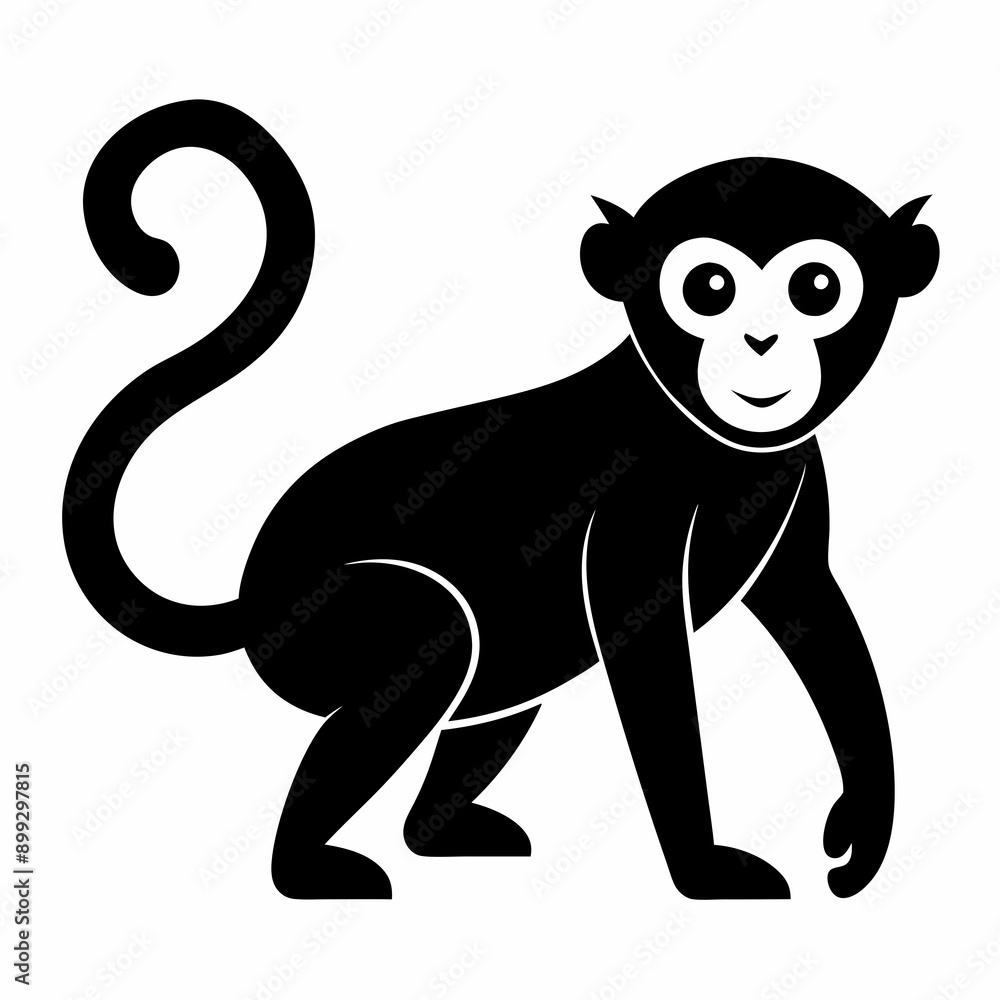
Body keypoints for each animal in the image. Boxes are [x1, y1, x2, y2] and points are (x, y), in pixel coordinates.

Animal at [63, 100, 940, 901]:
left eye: (817, 286)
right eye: (709, 287)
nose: (761, 341)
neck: (716, 446)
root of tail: (251, 601)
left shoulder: (794, 499)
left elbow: (817, 622)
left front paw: (861, 830)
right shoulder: (634, 517)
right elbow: (651, 667)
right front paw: (702, 870)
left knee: (484, 703)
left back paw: (439, 834)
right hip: (332, 625)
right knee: (440, 637)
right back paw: (304, 868)